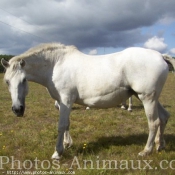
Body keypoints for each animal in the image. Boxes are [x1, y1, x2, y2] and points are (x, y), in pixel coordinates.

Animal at [0, 42, 172, 159]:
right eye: (7, 81)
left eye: (23, 80)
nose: (17, 109)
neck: (56, 65)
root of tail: (160, 56)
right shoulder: (64, 103)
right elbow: (67, 124)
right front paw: (67, 144)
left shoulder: (66, 100)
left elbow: (61, 126)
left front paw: (57, 152)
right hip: (149, 98)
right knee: (164, 117)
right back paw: (160, 145)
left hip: (147, 98)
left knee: (154, 122)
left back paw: (146, 150)